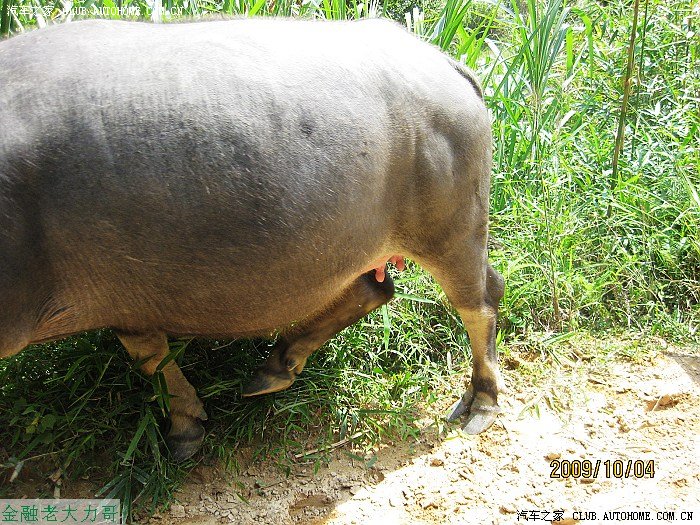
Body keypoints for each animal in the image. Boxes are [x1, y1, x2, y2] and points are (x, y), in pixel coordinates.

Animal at [0, 18, 504, 458]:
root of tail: (442, 60)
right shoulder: (126, 299)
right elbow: (150, 355)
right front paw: (187, 427)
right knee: (373, 288)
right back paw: (274, 367)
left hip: (452, 226)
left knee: (480, 300)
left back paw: (482, 400)